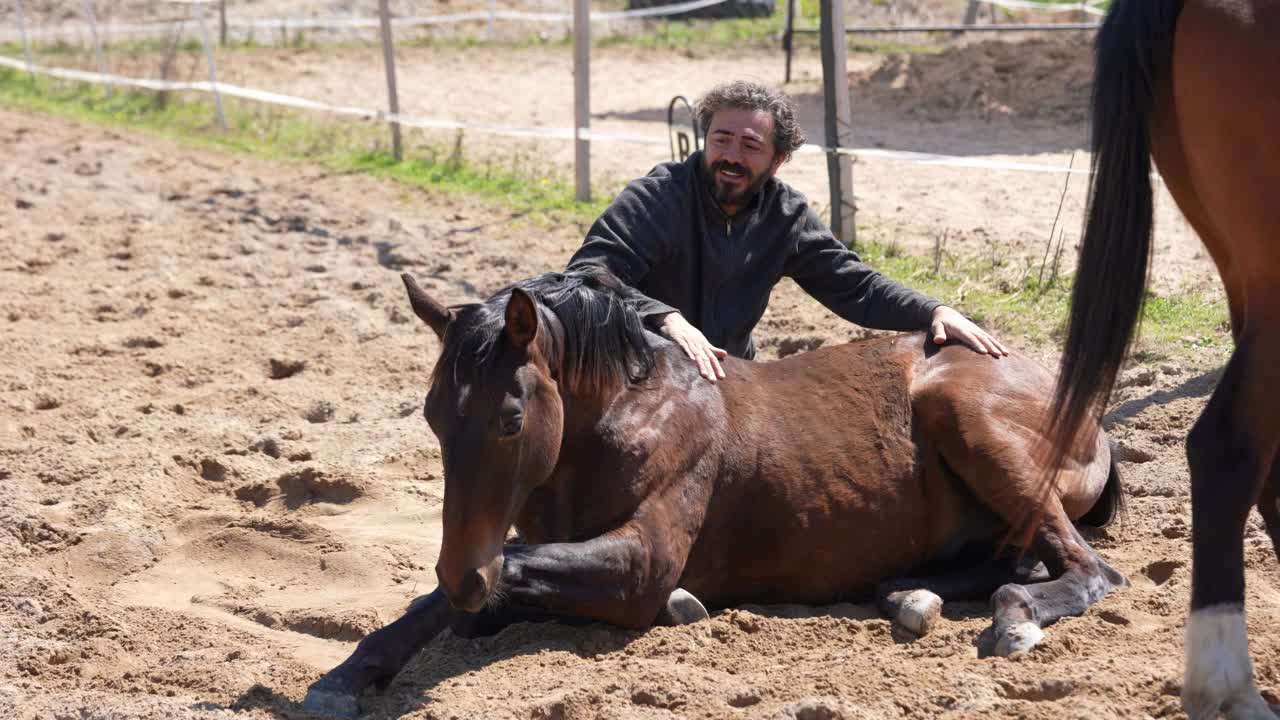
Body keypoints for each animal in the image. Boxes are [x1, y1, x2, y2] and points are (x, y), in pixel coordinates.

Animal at [304, 266, 1126, 712]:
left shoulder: (638, 563)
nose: (460, 571)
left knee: (1087, 571)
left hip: (967, 420)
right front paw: (347, 676)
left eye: (510, 419)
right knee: (1004, 560)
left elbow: (507, 575)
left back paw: (1015, 617)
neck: (626, 413)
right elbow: (459, 601)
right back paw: (912, 594)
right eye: (431, 415)